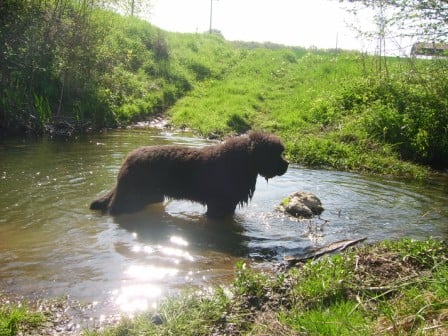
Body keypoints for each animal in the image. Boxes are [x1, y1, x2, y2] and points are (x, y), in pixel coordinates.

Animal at [89, 131, 288, 218]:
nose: (286, 164)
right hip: (132, 194)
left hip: (150, 194)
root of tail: (127, 159)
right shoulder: (219, 204)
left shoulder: (227, 204)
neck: (245, 161)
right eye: (276, 153)